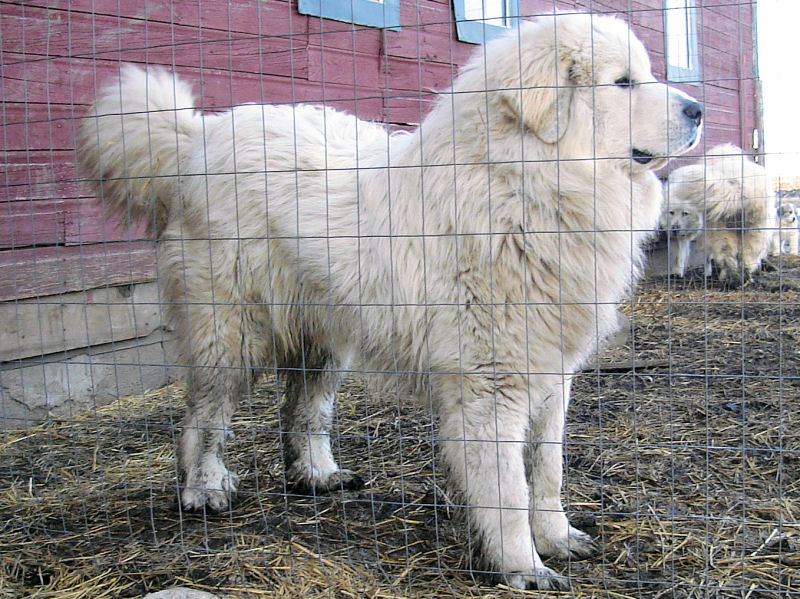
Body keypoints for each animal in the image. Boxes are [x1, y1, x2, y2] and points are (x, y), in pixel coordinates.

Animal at [76, 12, 700, 592]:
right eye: (622, 82)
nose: (698, 109)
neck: (525, 184)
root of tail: (196, 138)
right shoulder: (489, 387)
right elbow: (507, 487)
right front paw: (522, 566)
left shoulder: (551, 374)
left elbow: (546, 471)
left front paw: (556, 537)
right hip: (230, 335)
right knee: (204, 418)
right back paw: (203, 489)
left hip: (324, 338)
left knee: (303, 412)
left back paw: (318, 475)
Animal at [668, 146, 776, 284]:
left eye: (685, 214)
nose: (675, 229)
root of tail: (737, 184)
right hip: (749, 228)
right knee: (742, 255)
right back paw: (738, 277)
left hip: (733, 228)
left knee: (733, 255)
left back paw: (733, 277)